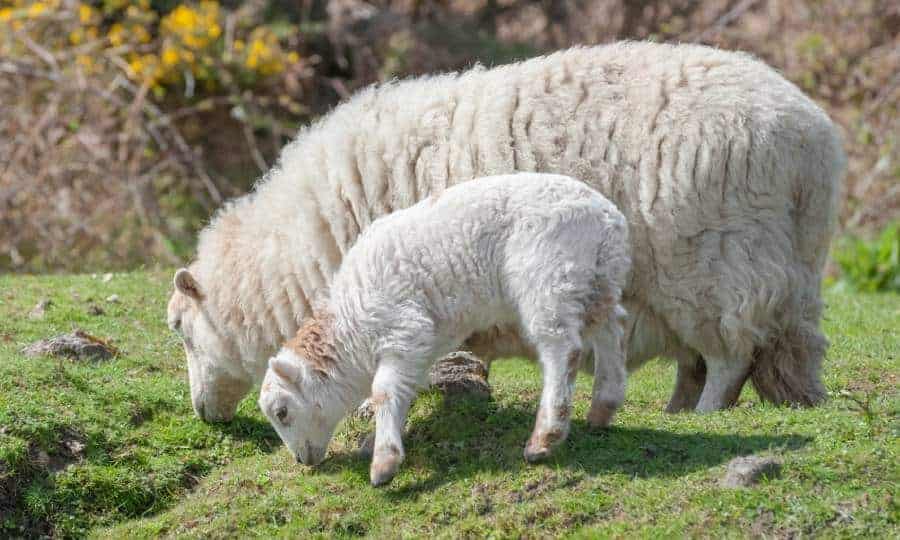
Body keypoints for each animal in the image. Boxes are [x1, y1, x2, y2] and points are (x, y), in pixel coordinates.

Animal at [167, 41, 844, 422]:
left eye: (179, 329)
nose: (202, 414)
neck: (304, 242)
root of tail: (814, 141)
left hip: (715, 263)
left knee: (730, 354)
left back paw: (703, 415)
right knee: (705, 357)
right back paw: (678, 409)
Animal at [256, 173, 628, 486]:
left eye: (282, 412)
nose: (302, 460)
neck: (351, 329)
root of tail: (607, 216)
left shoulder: (403, 326)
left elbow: (384, 390)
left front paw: (383, 464)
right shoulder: (422, 342)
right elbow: (404, 389)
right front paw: (377, 441)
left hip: (548, 276)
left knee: (562, 349)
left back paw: (545, 438)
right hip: (598, 278)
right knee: (611, 329)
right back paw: (603, 407)